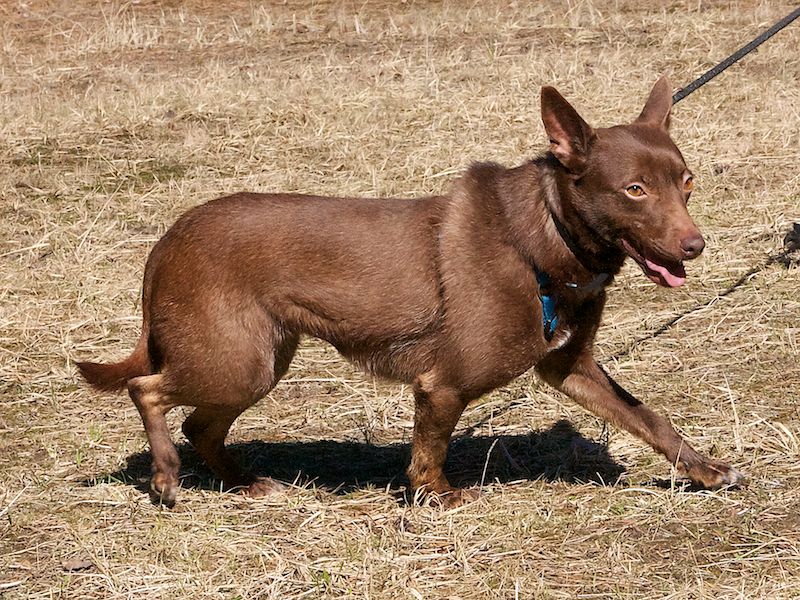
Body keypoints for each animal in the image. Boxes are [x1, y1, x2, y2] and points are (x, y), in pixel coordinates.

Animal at [77, 76, 744, 507]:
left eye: (686, 182)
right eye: (634, 190)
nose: (695, 246)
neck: (542, 236)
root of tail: (168, 240)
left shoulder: (569, 366)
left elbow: (649, 418)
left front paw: (703, 470)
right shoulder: (443, 384)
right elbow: (431, 450)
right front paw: (437, 496)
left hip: (258, 361)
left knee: (200, 426)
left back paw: (242, 482)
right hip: (234, 361)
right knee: (147, 390)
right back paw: (167, 477)